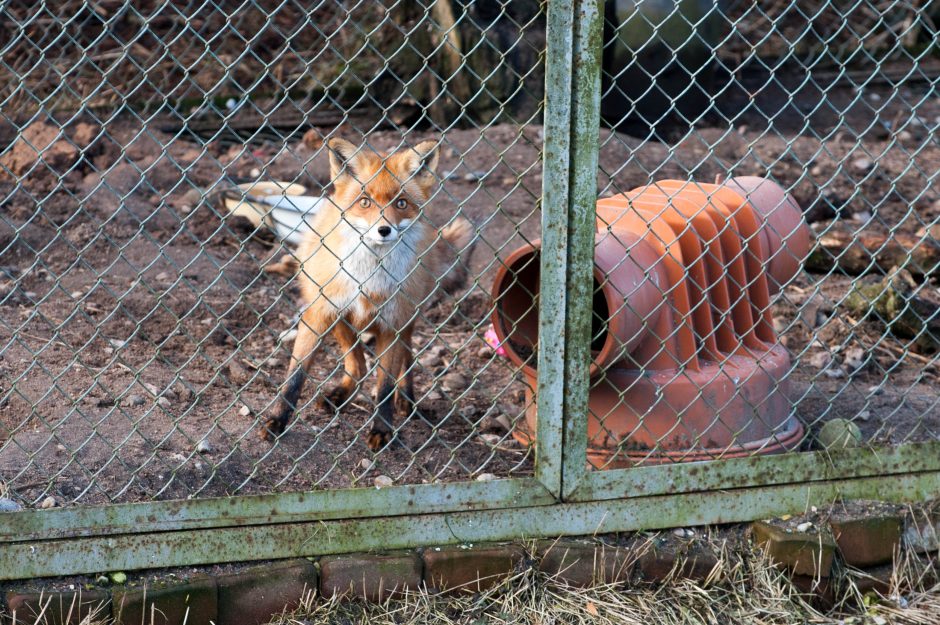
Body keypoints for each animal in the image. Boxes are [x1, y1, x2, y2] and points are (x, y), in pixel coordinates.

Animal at [260, 136, 474, 448]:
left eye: (401, 203)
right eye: (365, 202)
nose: (384, 230)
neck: (369, 279)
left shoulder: (392, 324)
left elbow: (384, 385)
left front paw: (382, 429)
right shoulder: (318, 314)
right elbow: (295, 375)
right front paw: (277, 419)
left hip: (406, 318)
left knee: (405, 358)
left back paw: (406, 398)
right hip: (340, 319)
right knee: (357, 366)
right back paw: (341, 394)